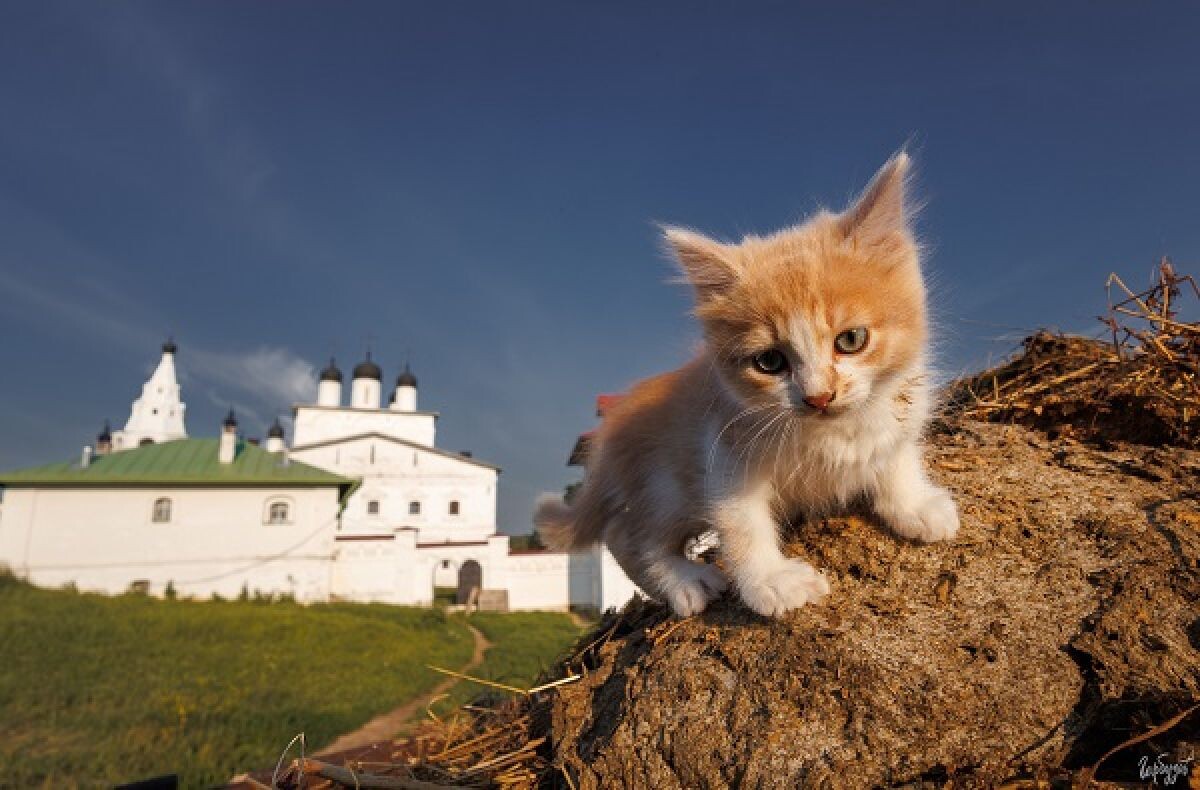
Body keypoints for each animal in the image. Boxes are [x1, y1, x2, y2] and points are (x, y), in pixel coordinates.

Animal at [540, 149, 960, 614]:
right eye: (770, 361)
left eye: (851, 340)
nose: (819, 397)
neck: (833, 433)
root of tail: (610, 431)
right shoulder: (722, 448)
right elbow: (742, 521)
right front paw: (772, 581)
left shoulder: (900, 407)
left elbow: (895, 454)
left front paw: (914, 503)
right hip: (665, 481)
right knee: (627, 535)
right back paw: (685, 581)